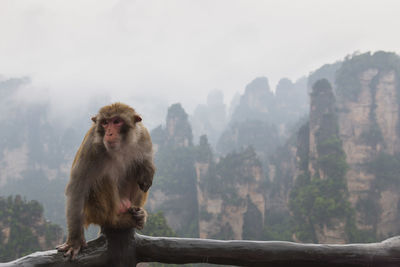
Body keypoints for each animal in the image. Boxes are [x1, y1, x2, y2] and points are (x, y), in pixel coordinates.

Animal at [56, 102, 155, 260]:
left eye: (116, 121)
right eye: (105, 123)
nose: (109, 133)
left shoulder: (143, 135)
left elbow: (146, 160)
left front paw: (147, 170)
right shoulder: (90, 147)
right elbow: (78, 188)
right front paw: (75, 241)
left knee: (136, 171)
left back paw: (138, 215)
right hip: (95, 211)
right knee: (103, 178)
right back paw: (117, 220)